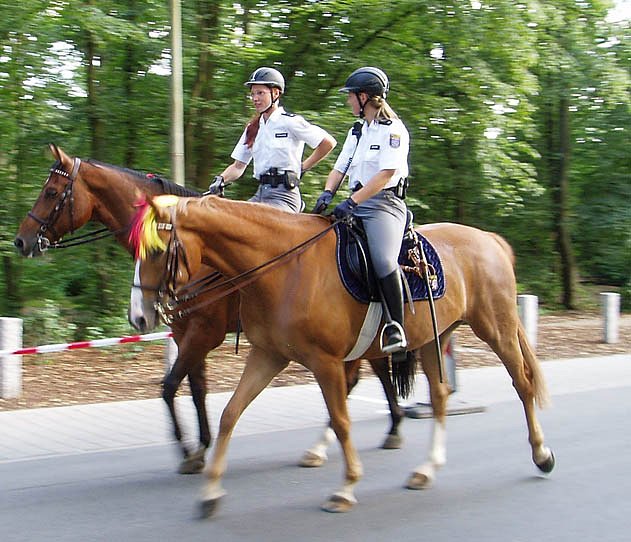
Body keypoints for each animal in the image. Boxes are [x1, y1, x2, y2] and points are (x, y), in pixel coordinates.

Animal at [13, 144, 404, 476]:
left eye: (51, 192)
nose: (21, 241)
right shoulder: (185, 333)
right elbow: (196, 388)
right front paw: (201, 447)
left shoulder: (204, 333)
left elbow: (170, 386)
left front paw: (188, 450)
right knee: (364, 373)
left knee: (376, 370)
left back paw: (391, 428)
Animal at [131, 196, 556, 520]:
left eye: (156, 250)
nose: (139, 316)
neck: (284, 265)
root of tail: (489, 239)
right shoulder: (268, 356)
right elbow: (230, 414)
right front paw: (210, 493)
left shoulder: (325, 362)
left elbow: (341, 421)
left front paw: (346, 487)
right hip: (437, 337)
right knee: (439, 396)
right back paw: (426, 469)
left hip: (496, 327)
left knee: (522, 383)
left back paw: (541, 453)